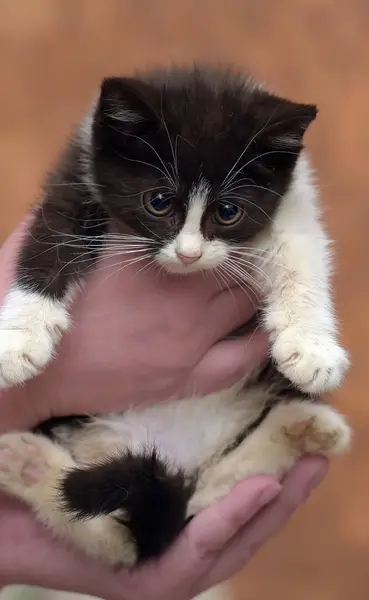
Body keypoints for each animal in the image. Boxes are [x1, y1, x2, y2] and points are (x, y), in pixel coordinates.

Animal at [0, 65, 350, 568]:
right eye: (159, 202)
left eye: (228, 212)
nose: (189, 254)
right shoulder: (77, 174)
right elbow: (51, 238)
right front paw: (19, 340)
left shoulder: (292, 200)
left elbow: (301, 253)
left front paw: (312, 349)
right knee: (126, 540)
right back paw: (25, 463)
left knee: (191, 506)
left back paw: (306, 428)